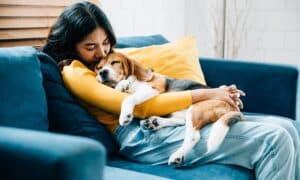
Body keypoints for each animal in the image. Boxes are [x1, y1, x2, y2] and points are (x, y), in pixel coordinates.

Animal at [95, 51, 245, 167]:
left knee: (193, 136)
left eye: (115, 62)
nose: (102, 72)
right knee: (181, 121)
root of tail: (234, 108)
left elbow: (129, 97)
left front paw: (125, 115)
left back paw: (178, 155)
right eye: (99, 67)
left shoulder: (152, 89)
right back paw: (155, 122)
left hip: (196, 109)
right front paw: (122, 85)